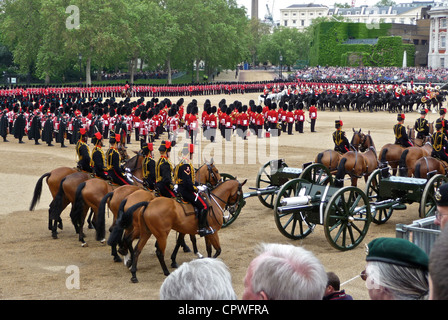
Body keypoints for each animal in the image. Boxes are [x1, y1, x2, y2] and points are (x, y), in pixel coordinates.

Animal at [110, 178, 247, 282]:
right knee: (157, 252)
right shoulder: (213, 233)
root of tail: (148, 204)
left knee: (136, 248)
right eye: (240, 192)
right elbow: (217, 250)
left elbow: (201, 247)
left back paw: (133, 271)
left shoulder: (202, 232)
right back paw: (164, 271)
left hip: (145, 232)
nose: (234, 208)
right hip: (161, 235)